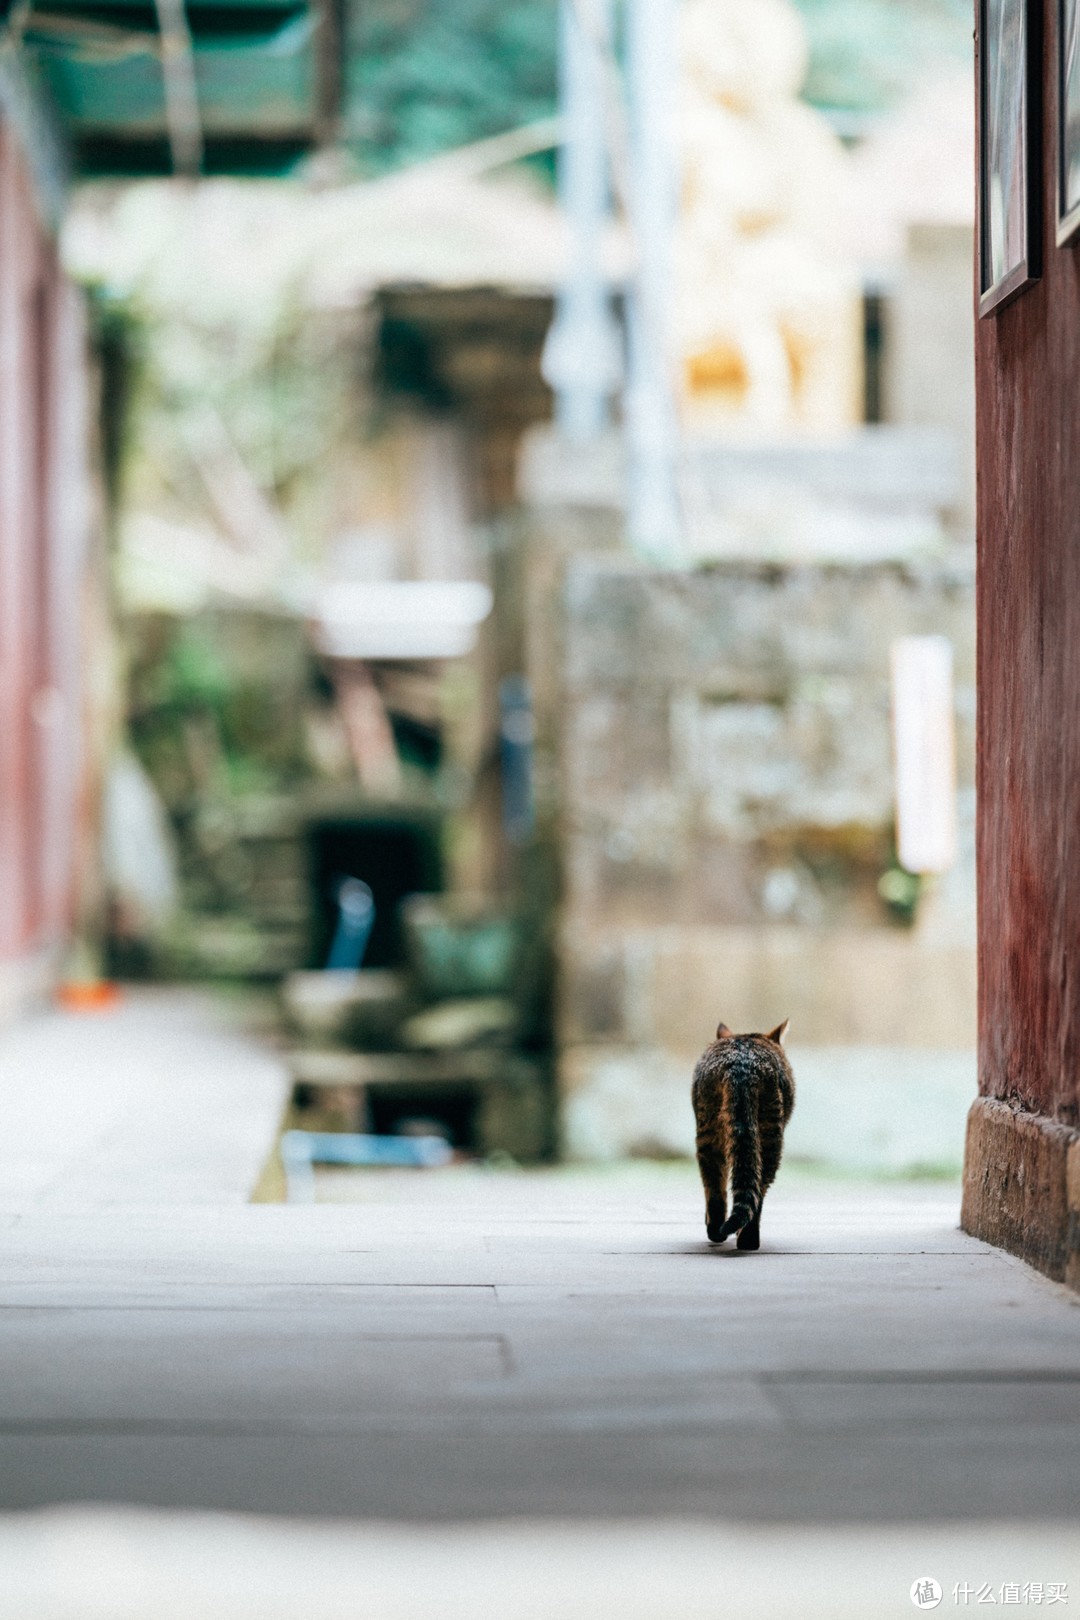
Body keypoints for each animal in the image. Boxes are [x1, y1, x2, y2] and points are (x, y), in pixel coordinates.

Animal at [693, 1023, 793, 1250]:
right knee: (752, 1189)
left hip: (711, 1133)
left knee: (719, 1188)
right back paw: (744, 1238)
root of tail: (741, 1064)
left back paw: (723, 1233)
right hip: (768, 1137)